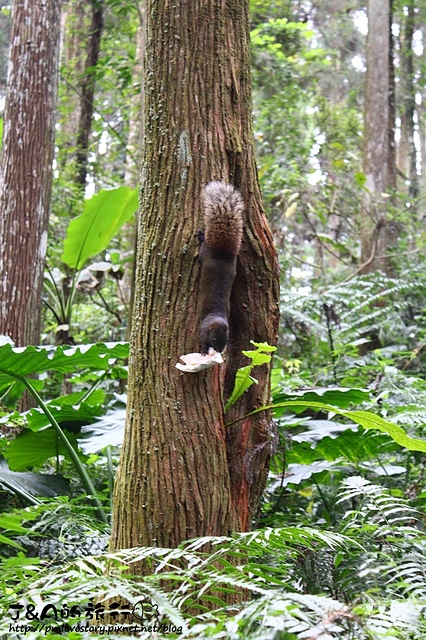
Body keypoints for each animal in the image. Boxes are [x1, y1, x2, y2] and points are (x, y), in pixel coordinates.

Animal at [198, 180, 245, 356]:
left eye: (226, 341)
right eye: (213, 339)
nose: (218, 351)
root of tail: (223, 253)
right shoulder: (203, 329)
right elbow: (201, 339)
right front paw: (204, 350)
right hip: (205, 253)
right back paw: (201, 236)